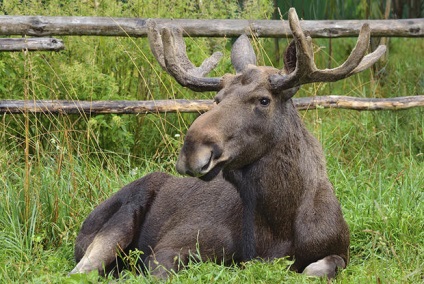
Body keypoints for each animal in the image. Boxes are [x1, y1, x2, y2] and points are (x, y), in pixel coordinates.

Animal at [71, 8, 386, 280]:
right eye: (217, 98)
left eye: (263, 100)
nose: (193, 150)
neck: (279, 224)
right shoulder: (170, 247)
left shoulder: (339, 250)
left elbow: (319, 267)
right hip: (119, 221)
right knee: (82, 270)